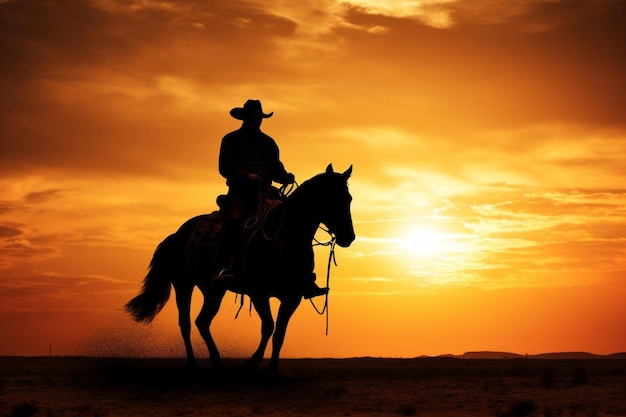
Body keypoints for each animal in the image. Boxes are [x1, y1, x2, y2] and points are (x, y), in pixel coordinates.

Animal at [124, 162, 354, 370]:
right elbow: (268, 326)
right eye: (332, 198)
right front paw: (253, 361)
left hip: (213, 290)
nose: (348, 237)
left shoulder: (292, 295)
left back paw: (216, 360)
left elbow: (280, 332)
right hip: (183, 285)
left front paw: (273, 369)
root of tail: (176, 235)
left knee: (202, 321)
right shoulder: (259, 292)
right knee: (186, 323)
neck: (285, 237)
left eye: (349, 198)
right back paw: (193, 363)